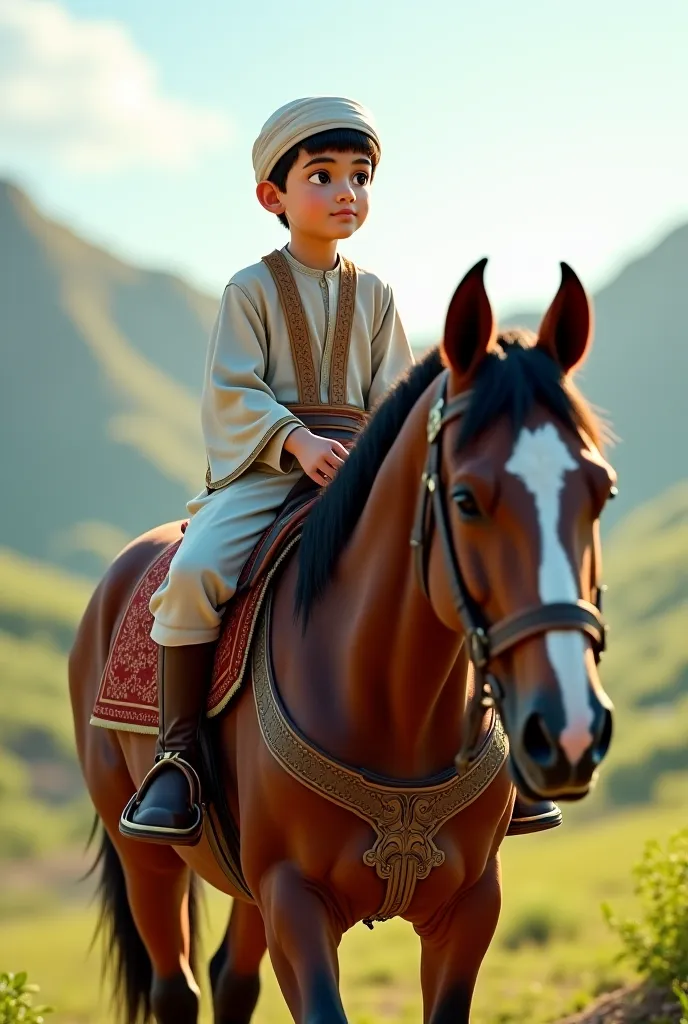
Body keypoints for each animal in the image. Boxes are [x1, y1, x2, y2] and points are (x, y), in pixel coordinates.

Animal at [69, 262, 618, 1024]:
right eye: (466, 499)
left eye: (601, 491)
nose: (568, 733)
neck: (391, 707)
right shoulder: (294, 899)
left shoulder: (472, 905)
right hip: (143, 854)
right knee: (174, 987)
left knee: (230, 978)